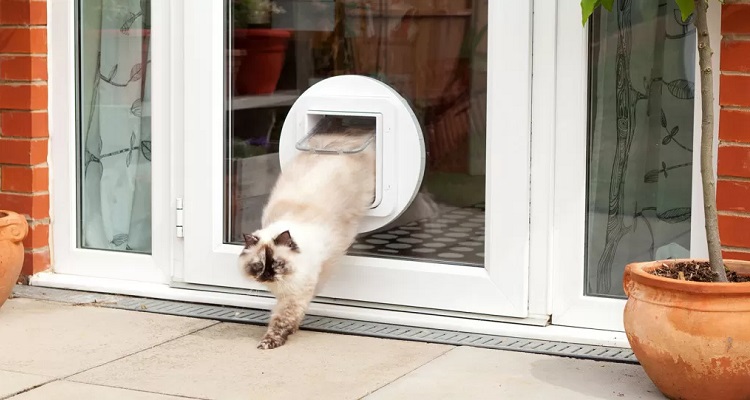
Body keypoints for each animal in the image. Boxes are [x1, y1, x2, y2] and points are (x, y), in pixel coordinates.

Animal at [238, 132, 376, 350]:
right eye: (259, 266)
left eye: (277, 264)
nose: (267, 275)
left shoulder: (296, 295)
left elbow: (282, 320)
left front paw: (270, 342)